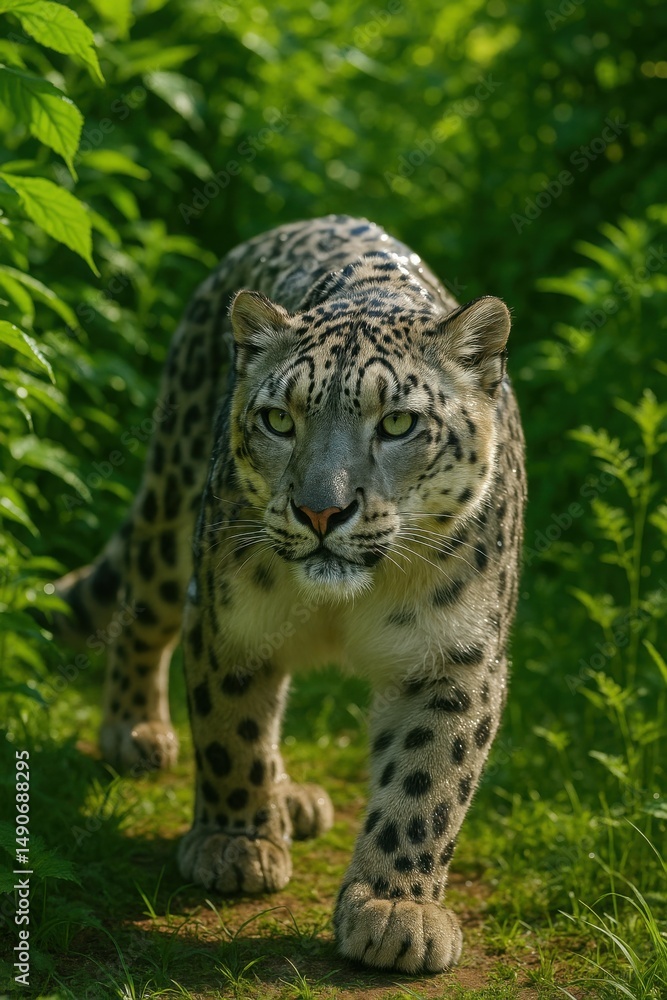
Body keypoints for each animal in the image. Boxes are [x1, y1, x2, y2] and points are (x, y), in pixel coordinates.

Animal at [49, 214, 526, 974]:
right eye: (279, 419)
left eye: (397, 423)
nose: (320, 511)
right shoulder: (229, 620)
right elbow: (231, 731)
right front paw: (235, 843)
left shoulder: (454, 654)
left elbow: (427, 779)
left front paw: (396, 909)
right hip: (169, 520)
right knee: (140, 613)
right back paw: (138, 731)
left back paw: (293, 799)